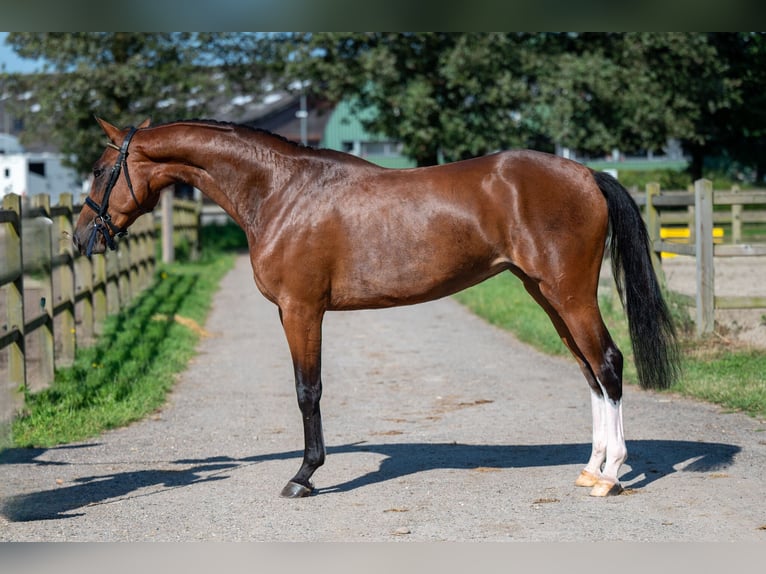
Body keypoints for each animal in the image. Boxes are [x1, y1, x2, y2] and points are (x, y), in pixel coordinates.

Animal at [75, 118, 680, 500]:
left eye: (102, 171)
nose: (81, 236)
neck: (281, 191)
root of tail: (586, 174)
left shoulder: (300, 310)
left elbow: (308, 391)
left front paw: (304, 476)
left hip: (568, 292)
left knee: (607, 363)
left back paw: (611, 475)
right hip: (545, 293)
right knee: (589, 371)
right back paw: (591, 469)